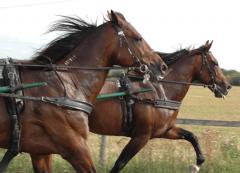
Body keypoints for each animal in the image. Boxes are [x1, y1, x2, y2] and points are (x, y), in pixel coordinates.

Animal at [30, 41, 231, 173]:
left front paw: (197, 163)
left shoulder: (165, 130)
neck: (160, 91)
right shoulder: (141, 136)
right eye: (214, 63)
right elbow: (119, 163)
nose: (227, 86)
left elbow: (192, 136)